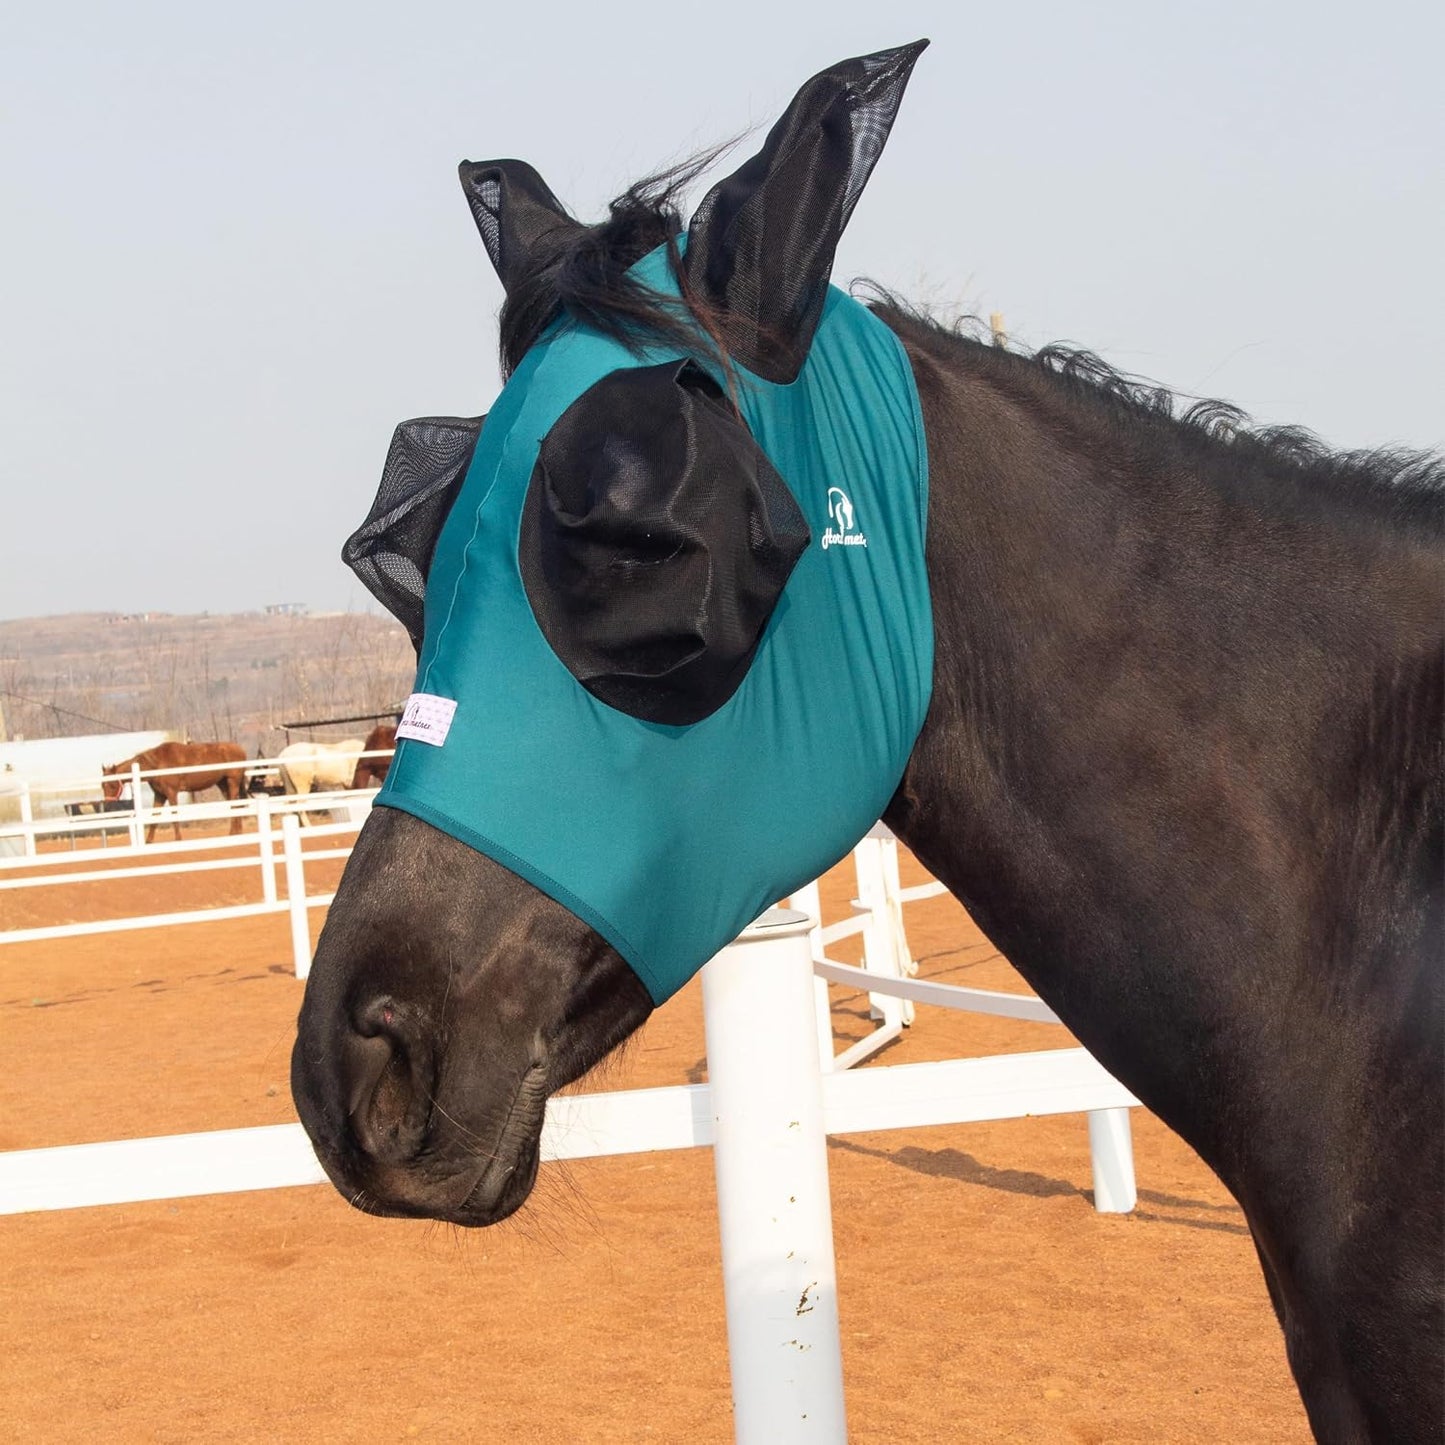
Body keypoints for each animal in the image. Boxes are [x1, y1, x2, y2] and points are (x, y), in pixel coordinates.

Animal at [101, 740, 248, 842]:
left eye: (112, 785)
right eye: (103, 785)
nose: (108, 804)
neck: (157, 764)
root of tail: (240, 749)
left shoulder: (171, 793)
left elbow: (174, 815)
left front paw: (178, 838)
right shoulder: (160, 795)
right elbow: (154, 817)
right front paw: (148, 841)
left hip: (232, 782)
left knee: (235, 804)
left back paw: (234, 832)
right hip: (223, 784)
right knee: (235, 805)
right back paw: (236, 832)